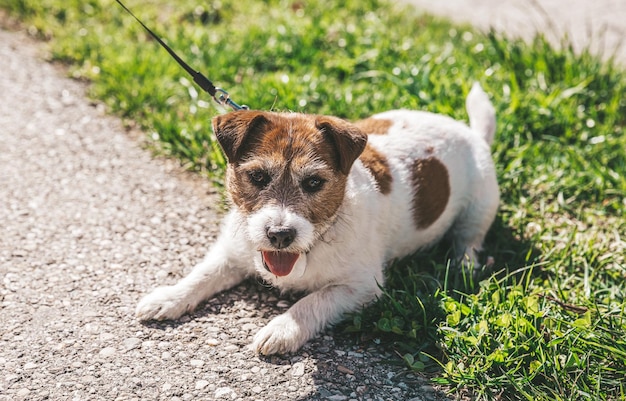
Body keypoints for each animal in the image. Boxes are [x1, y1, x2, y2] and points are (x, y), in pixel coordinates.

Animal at [136, 81, 498, 354]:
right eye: (257, 177)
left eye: (313, 182)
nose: (280, 234)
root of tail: (471, 132)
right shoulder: (232, 252)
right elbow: (203, 273)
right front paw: (168, 297)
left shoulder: (361, 287)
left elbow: (315, 299)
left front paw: (283, 328)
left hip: (481, 205)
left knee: (470, 238)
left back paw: (463, 265)